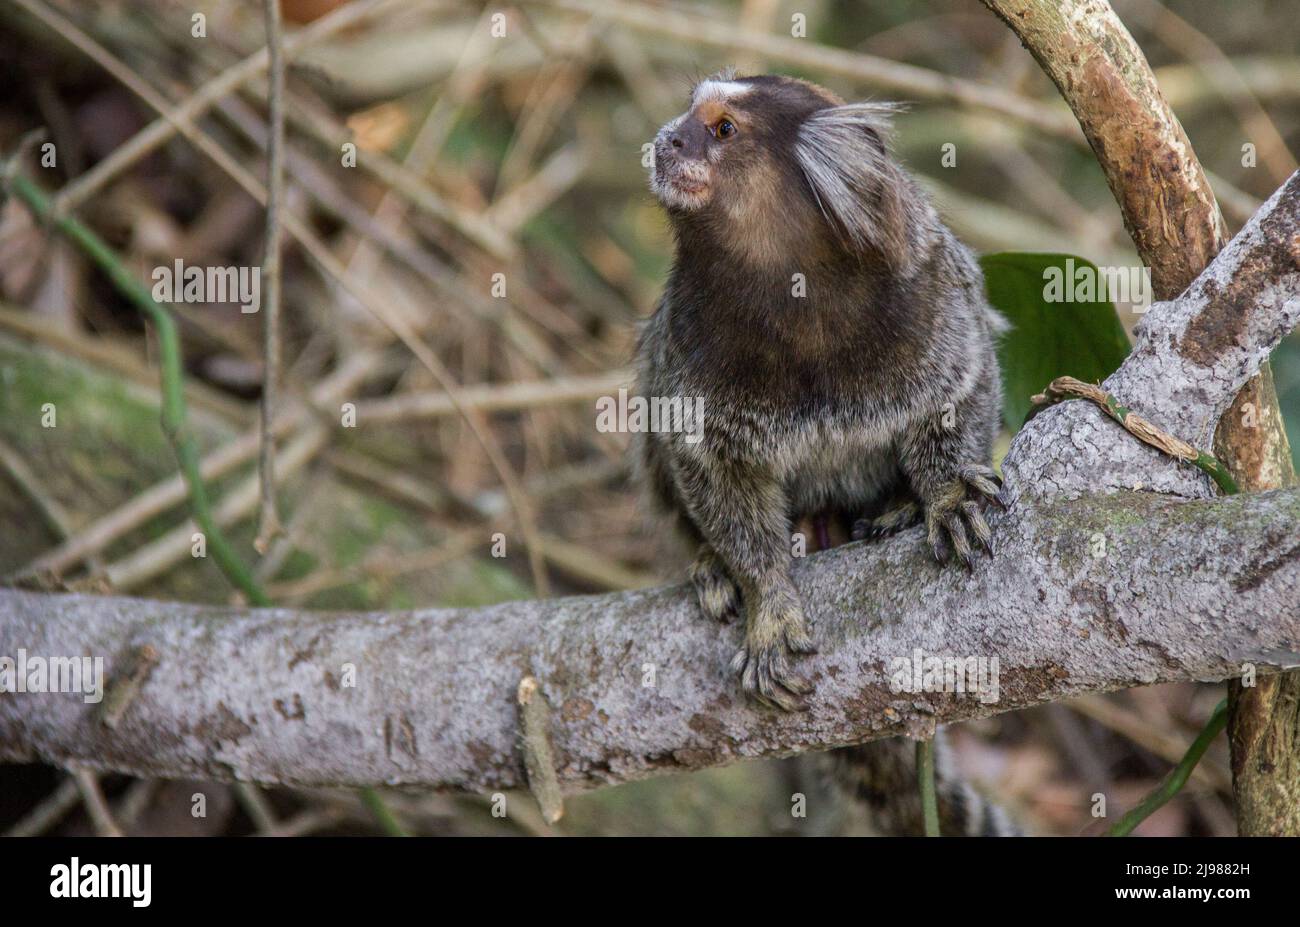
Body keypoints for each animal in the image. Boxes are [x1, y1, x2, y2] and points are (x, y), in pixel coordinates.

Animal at [639, 76, 1013, 837]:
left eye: (721, 130)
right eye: (690, 115)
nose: (668, 138)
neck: (792, 291)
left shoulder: (932, 292)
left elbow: (964, 386)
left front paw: (942, 497)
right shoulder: (683, 356)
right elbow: (705, 466)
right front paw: (765, 597)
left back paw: (895, 509)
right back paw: (712, 563)